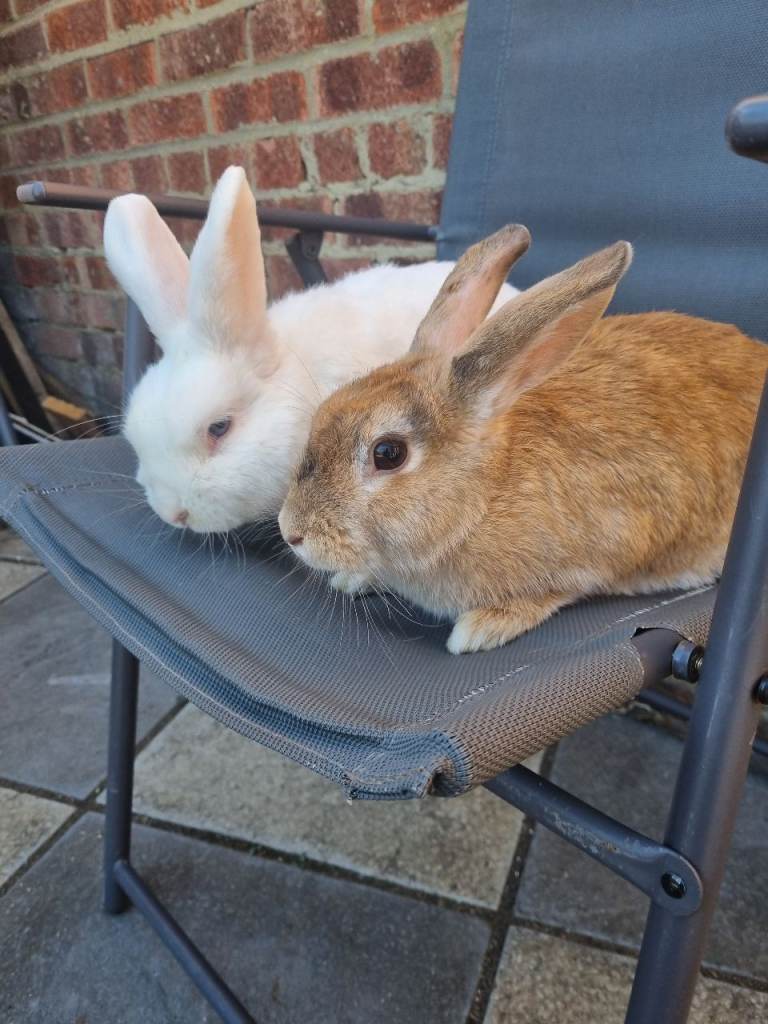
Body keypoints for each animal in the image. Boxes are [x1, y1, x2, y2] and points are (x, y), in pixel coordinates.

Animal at [278, 224, 768, 653]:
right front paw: (354, 579)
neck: (485, 494)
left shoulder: (593, 557)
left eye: (388, 453)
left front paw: (479, 630)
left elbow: (551, 593)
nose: (290, 532)